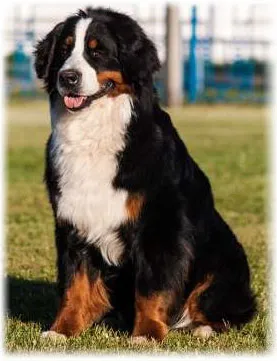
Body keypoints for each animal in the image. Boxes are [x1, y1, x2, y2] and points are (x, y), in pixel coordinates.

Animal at [34, 7, 254, 342]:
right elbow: (75, 285)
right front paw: (62, 331)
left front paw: (147, 333)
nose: (67, 77)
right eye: (63, 50)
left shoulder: (159, 225)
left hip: (222, 262)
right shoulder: (73, 221)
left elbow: (153, 286)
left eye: (97, 51)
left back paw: (203, 328)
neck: (93, 132)